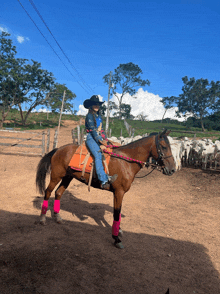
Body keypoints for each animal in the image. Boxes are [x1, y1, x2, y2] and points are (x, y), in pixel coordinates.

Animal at [35, 129, 175, 248]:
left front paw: (118, 231)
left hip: (67, 177)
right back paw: (42, 218)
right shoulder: (119, 192)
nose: (173, 169)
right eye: (164, 147)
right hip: (56, 176)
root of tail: (58, 149)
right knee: (48, 192)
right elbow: (116, 214)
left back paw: (58, 217)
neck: (126, 162)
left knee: (58, 193)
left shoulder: (119, 193)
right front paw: (116, 239)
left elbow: (117, 212)